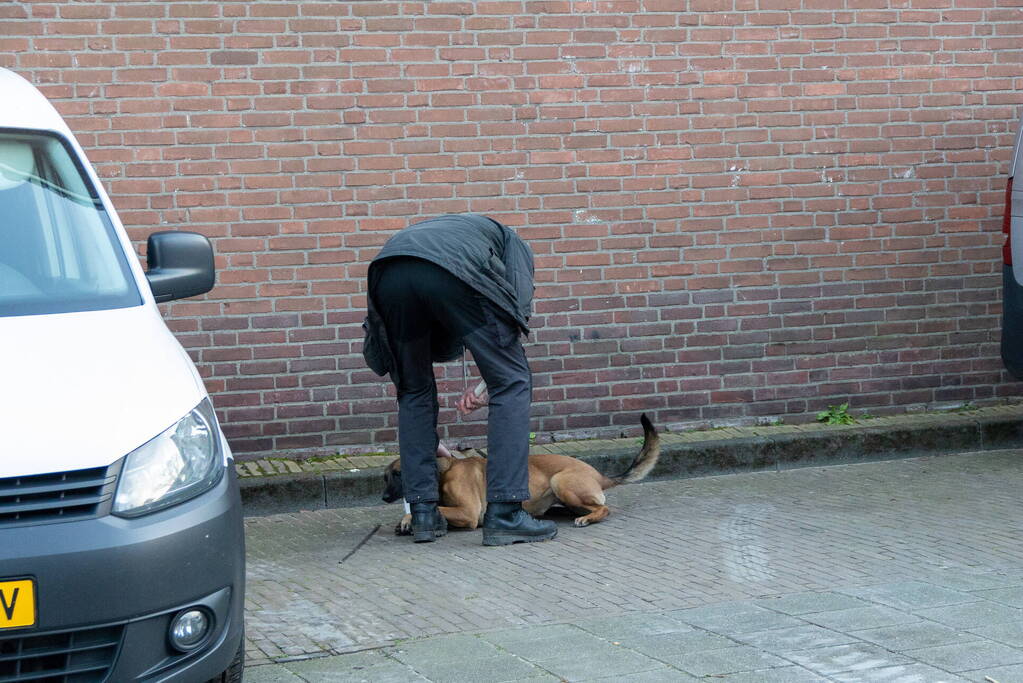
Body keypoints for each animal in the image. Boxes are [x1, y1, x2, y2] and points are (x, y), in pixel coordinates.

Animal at [380, 413, 658, 535]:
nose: (383, 498)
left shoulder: (468, 513)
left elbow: (439, 509)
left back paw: (587, 518)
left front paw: (408, 519)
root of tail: (600, 475)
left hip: (561, 482)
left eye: (399, 474)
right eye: (385, 477)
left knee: (605, 508)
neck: (444, 473)